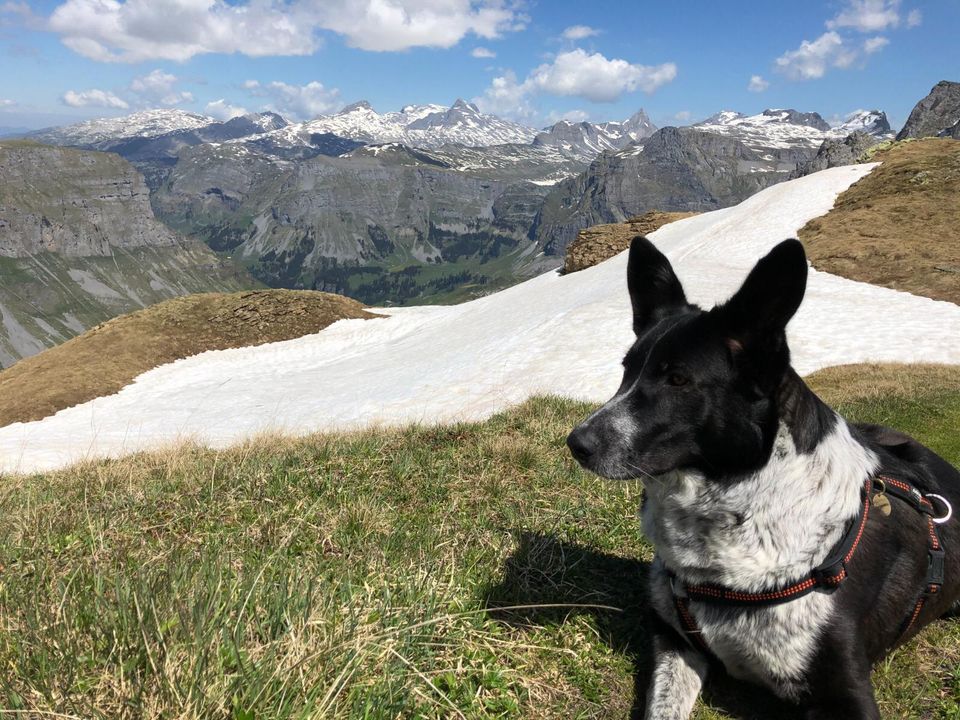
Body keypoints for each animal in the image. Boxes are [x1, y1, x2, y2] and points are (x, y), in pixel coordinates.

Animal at [568, 238, 956, 720]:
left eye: (677, 379)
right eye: (626, 370)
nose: (576, 443)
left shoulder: (846, 691)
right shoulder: (674, 639)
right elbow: (662, 707)